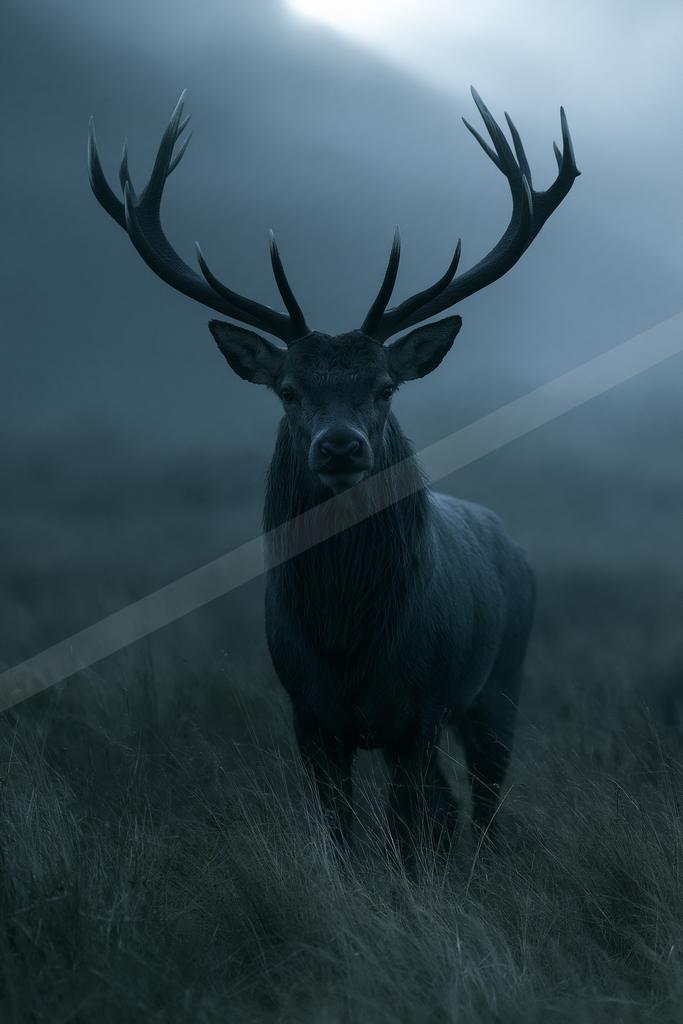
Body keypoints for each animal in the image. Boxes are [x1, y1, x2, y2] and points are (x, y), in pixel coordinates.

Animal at [88, 87, 579, 863]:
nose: (341, 447)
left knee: (481, 802)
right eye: (288, 390)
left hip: (501, 680)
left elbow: (408, 829)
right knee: (450, 805)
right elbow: (339, 836)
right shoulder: (307, 716)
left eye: (385, 387)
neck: (348, 646)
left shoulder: (417, 709)